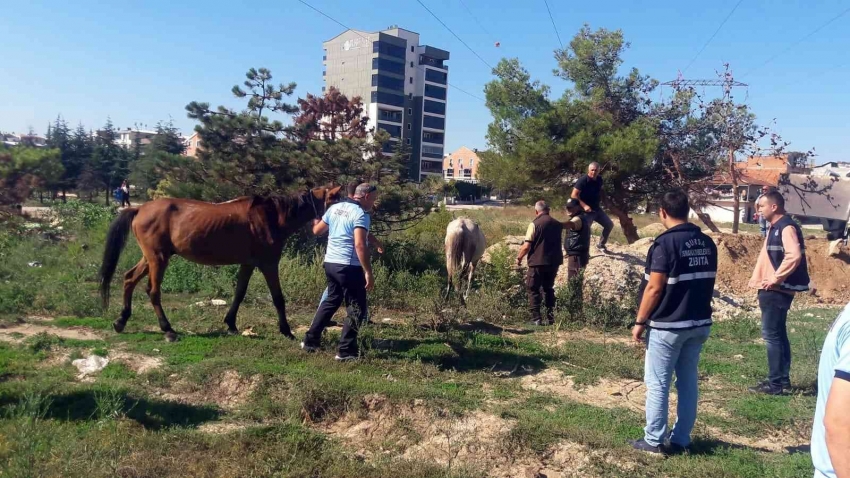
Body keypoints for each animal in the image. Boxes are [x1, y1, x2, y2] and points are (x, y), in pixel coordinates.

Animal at [98, 186, 338, 340]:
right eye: (337, 199)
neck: (271, 216)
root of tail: (139, 209)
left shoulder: (248, 264)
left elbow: (239, 293)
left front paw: (231, 324)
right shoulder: (268, 264)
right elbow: (278, 298)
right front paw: (286, 330)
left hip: (152, 257)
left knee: (129, 279)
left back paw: (121, 320)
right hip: (158, 258)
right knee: (153, 291)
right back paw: (168, 330)